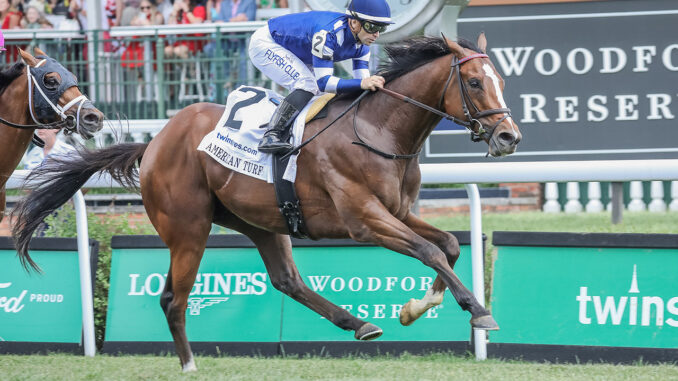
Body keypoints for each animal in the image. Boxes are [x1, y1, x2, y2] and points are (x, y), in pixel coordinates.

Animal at [11, 35, 520, 368]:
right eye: (475, 82)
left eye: (499, 79)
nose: (509, 137)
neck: (380, 131)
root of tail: (154, 143)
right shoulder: (364, 219)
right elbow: (430, 250)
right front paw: (479, 312)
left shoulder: (398, 212)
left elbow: (447, 246)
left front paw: (416, 308)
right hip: (188, 229)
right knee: (174, 299)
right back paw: (190, 366)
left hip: (260, 222)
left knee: (287, 281)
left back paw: (358, 323)